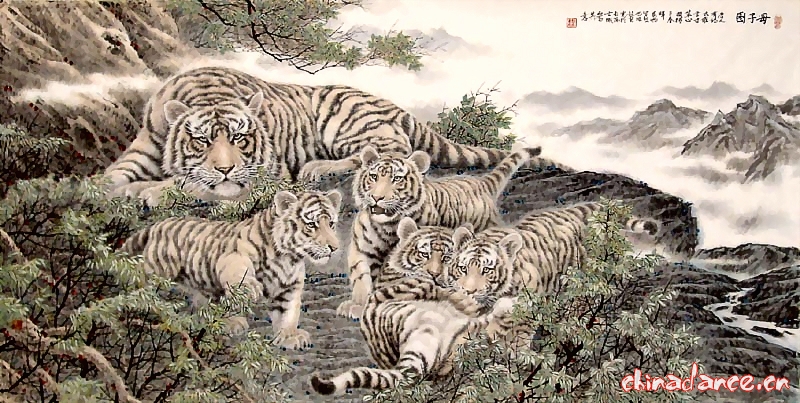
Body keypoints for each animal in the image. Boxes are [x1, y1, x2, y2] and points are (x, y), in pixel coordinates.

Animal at [102, 66, 558, 206]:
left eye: (241, 140)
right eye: (201, 141)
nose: (228, 168)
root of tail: (398, 107)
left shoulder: (262, 176)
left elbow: (193, 184)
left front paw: (150, 191)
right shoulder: (144, 147)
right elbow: (114, 174)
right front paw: (102, 188)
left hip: (346, 119)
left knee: (391, 158)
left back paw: (318, 168)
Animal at [119, 189, 342, 350]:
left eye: (331, 223)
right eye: (312, 225)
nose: (334, 247)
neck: (289, 259)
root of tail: (157, 225)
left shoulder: (289, 288)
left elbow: (288, 313)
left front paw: (289, 336)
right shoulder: (233, 254)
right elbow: (240, 271)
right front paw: (251, 288)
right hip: (158, 270)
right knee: (142, 281)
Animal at [337, 145, 540, 319]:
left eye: (397, 179)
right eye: (374, 177)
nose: (377, 197)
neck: (389, 226)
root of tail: (481, 182)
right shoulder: (362, 249)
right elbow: (361, 278)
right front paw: (357, 305)